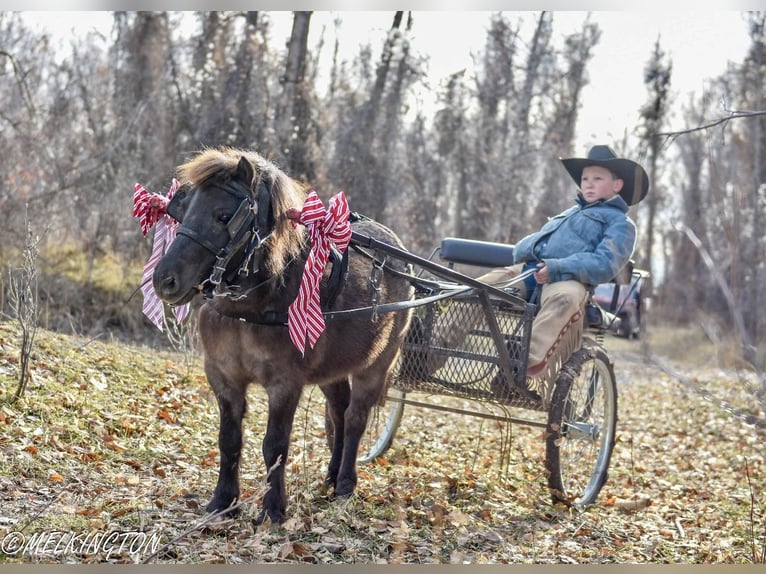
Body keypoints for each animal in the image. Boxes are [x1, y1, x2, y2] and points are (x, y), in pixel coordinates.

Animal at [154, 148, 414, 528]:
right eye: (181, 208)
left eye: (224, 216)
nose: (164, 280)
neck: (255, 301)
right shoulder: (222, 375)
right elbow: (229, 439)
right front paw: (222, 502)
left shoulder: (285, 383)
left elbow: (274, 445)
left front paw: (273, 509)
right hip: (332, 369)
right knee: (339, 410)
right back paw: (332, 475)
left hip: (377, 364)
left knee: (355, 418)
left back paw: (345, 484)